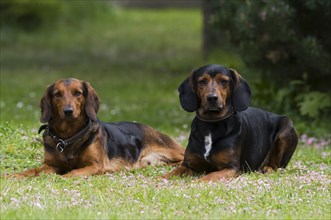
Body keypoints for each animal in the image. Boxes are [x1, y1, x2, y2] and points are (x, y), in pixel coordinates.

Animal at [13, 78, 184, 178]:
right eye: (57, 94)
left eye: (77, 93)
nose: (68, 111)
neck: (68, 137)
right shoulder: (50, 165)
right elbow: (32, 170)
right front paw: (15, 175)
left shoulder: (95, 165)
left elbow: (73, 172)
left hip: (172, 150)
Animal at [165, 64, 300, 181]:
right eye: (202, 81)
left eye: (223, 81)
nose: (212, 98)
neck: (211, 124)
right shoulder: (188, 165)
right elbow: (171, 173)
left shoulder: (231, 168)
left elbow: (210, 176)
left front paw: (197, 182)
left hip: (286, 128)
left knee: (277, 166)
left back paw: (267, 168)